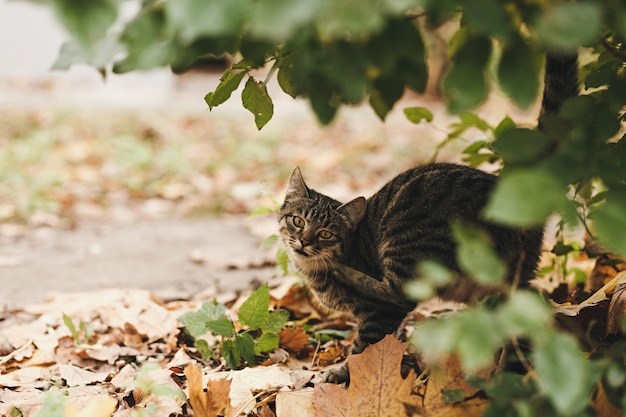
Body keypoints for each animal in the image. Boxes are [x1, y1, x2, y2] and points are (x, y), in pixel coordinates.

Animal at [276, 50, 576, 382]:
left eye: (326, 233)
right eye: (298, 221)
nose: (303, 241)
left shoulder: (380, 315)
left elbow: (365, 348)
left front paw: (344, 372)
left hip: (407, 238)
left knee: (396, 291)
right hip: (503, 281)